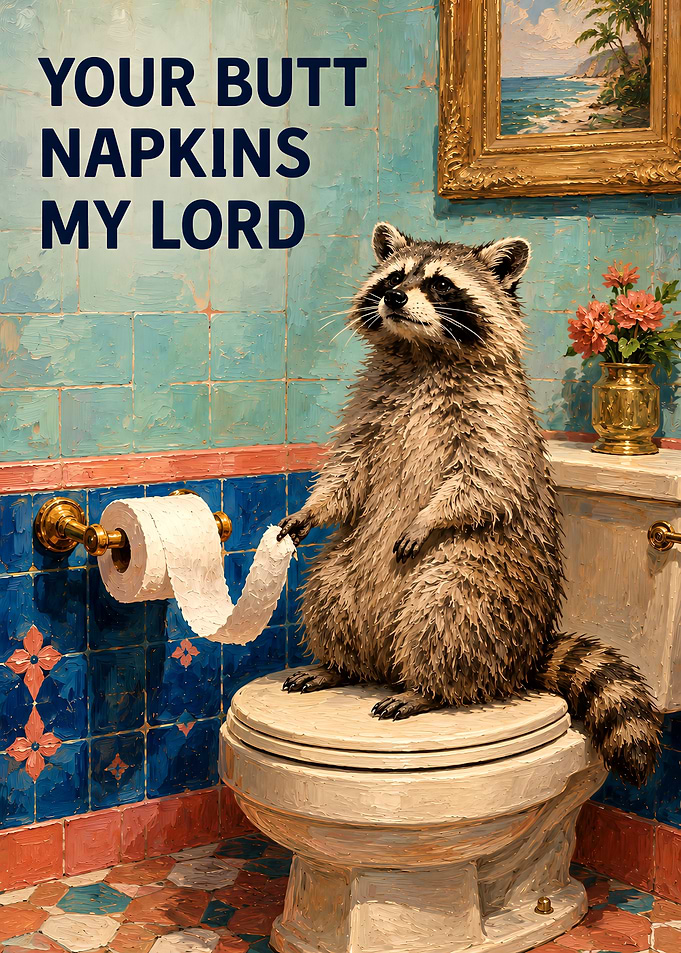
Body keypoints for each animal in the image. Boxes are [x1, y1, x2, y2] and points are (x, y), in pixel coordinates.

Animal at [278, 222, 661, 786]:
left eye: (440, 284)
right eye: (394, 277)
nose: (395, 297)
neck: (421, 353)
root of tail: (523, 660)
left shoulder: (497, 419)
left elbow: (483, 482)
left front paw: (428, 516)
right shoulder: (368, 410)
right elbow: (346, 472)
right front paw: (313, 508)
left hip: (478, 579)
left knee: (448, 616)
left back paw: (428, 689)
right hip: (348, 570)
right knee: (328, 590)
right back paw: (339, 664)